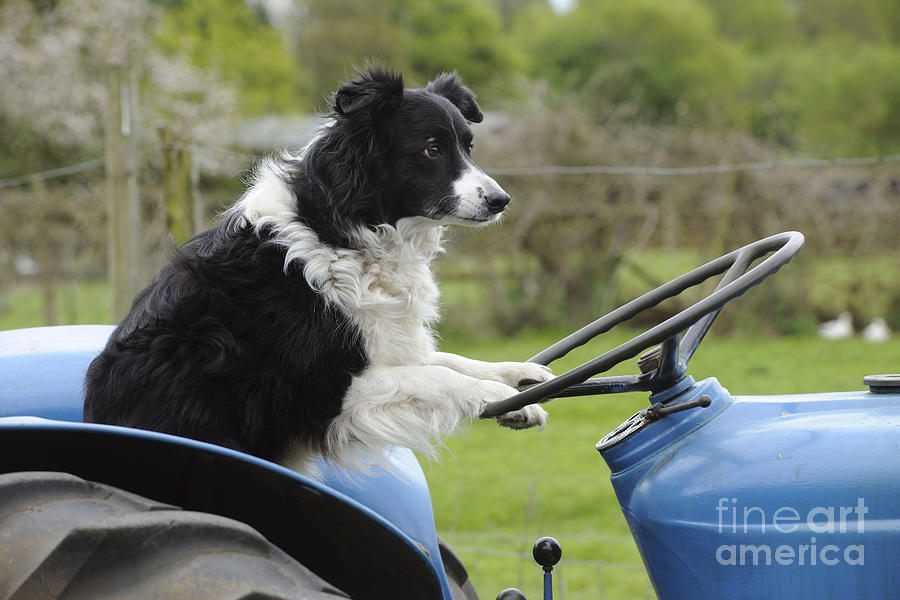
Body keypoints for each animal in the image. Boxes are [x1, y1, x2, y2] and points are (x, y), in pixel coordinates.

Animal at [84, 69, 548, 474]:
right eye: (432, 149)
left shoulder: (382, 344)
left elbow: (448, 360)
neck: (341, 231)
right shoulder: (325, 393)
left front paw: (517, 377)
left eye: (468, 148)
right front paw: (502, 395)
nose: (501, 200)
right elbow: (437, 376)